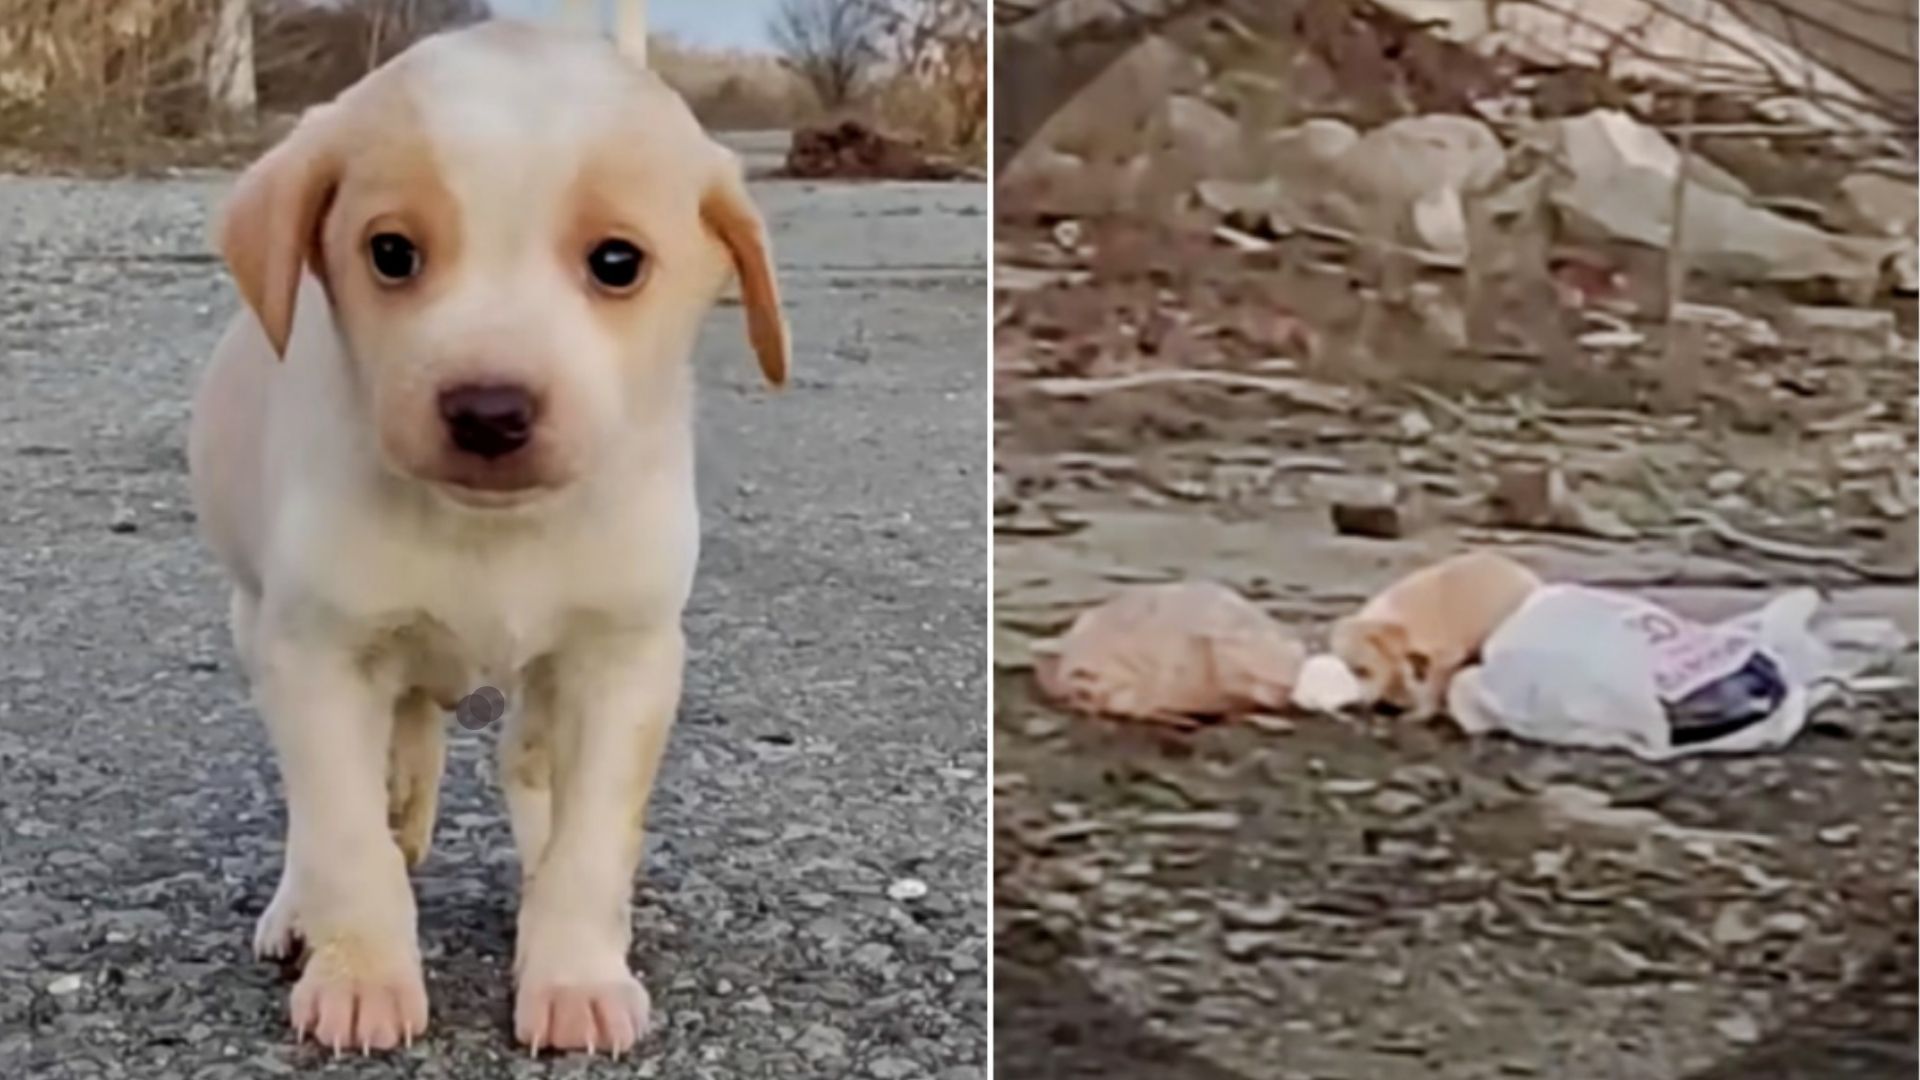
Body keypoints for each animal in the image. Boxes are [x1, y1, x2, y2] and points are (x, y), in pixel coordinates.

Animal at [187, 23, 787, 1053]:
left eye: (617, 262)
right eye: (391, 252)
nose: (489, 409)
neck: (491, 527)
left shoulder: (622, 659)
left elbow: (590, 843)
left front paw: (578, 972)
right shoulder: (320, 654)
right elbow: (344, 833)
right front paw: (361, 974)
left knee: (513, 760)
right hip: (256, 622)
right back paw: (307, 900)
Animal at [1328, 549, 1536, 718]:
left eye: (1361, 670)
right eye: (1346, 670)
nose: (1356, 706)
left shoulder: (1444, 654)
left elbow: (1430, 684)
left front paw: (1420, 711)